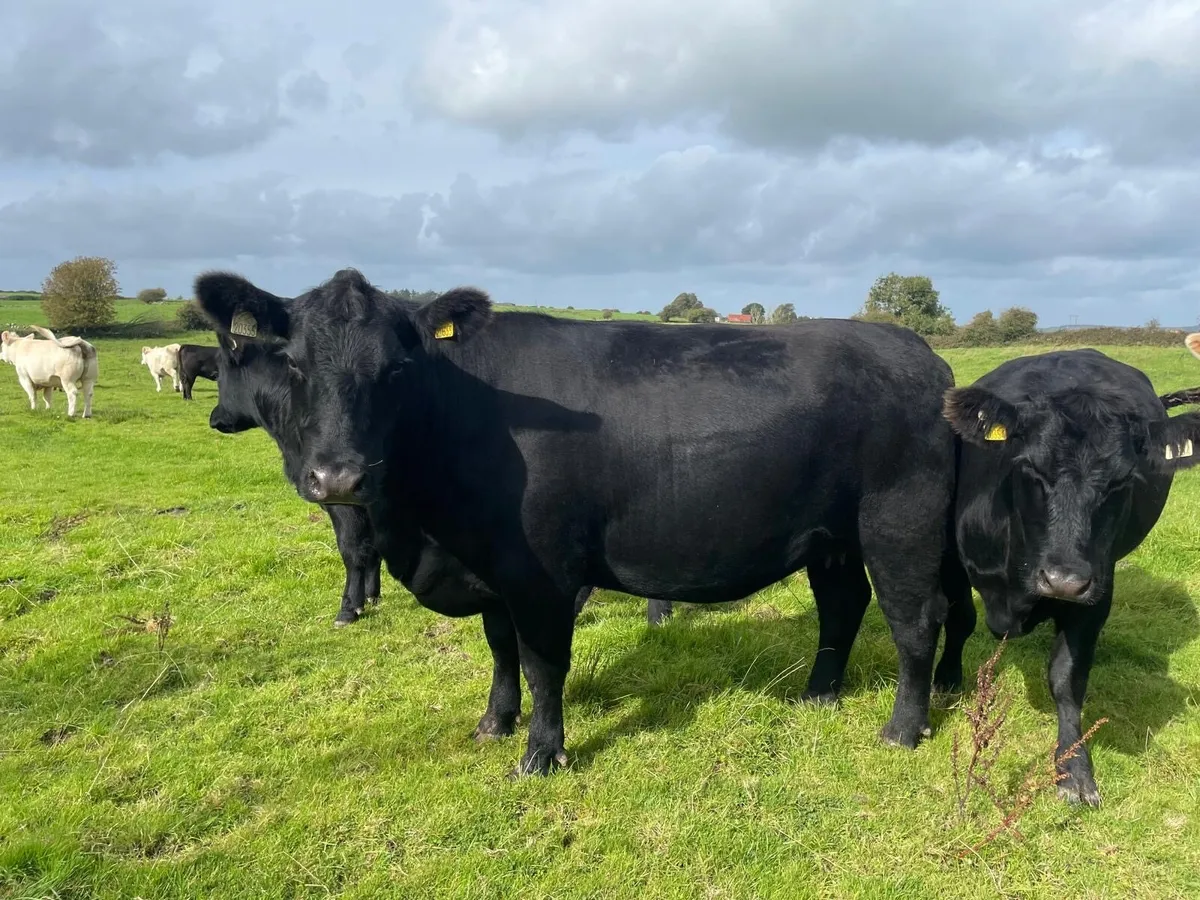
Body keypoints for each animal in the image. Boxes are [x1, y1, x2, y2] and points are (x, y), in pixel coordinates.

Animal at [194, 267, 975, 777]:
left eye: (396, 368)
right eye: (294, 364)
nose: (338, 478)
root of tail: (917, 352)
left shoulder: (540, 570)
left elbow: (542, 662)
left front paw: (542, 753)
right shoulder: (490, 564)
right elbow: (500, 650)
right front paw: (494, 722)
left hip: (899, 521)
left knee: (916, 618)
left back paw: (903, 729)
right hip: (831, 536)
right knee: (843, 606)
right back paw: (818, 694)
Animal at [942, 348, 1200, 805]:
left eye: (1122, 481)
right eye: (1029, 467)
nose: (1062, 579)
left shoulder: (1097, 589)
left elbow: (1066, 677)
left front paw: (1074, 768)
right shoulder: (955, 558)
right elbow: (959, 620)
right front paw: (949, 682)